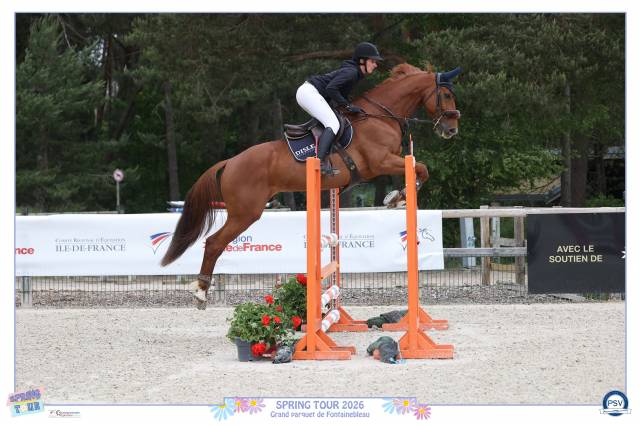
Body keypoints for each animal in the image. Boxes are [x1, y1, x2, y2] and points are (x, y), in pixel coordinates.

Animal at [161, 63, 461, 309]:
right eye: (446, 95)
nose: (451, 130)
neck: (379, 116)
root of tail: (230, 162)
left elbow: (419, 168)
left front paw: (396, 197)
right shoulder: (380, 162)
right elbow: (420, 169)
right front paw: (397, 197)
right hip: (245, 213)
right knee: (213, 243)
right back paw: (201, 291)